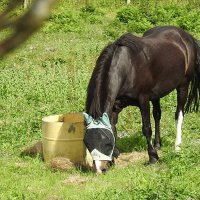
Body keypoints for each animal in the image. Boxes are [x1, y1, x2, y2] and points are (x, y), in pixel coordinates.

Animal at [83, 25, 200, 173]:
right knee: (157, 114)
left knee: (179, 114)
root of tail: (186, 36)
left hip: (183, 86)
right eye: (87, 142)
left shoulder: (143, 100)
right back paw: (157, 144)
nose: (99, 169)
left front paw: (153, 157)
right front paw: (114, 158)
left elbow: (146, 128)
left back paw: (177, 146)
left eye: (106, 141)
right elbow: (114, 128)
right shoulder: (115, 106)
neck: (128, 67)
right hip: (156, 95)